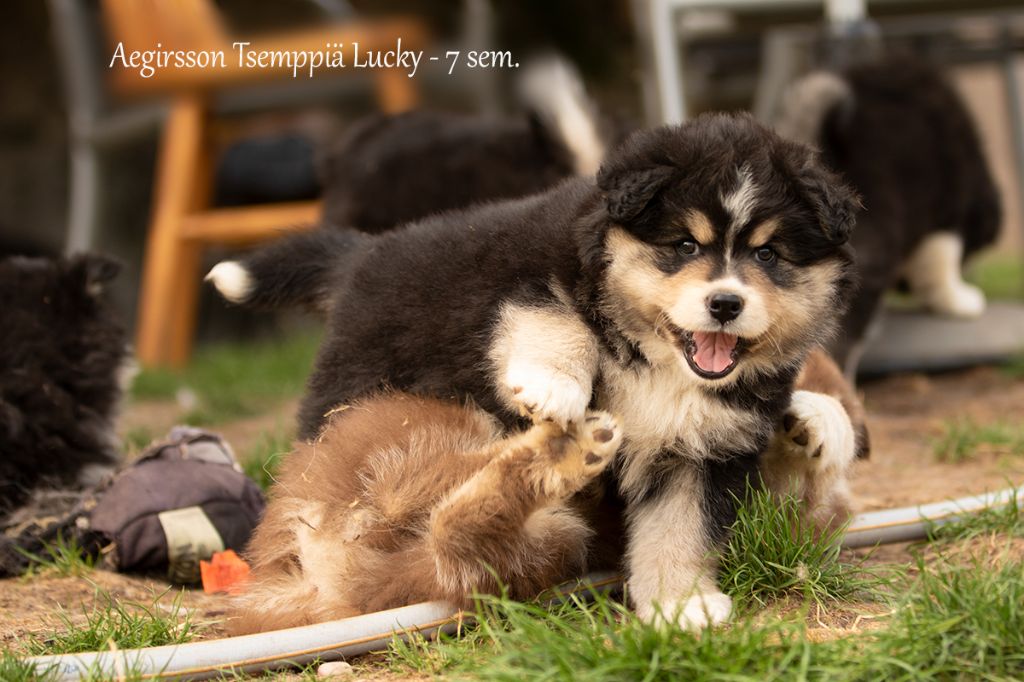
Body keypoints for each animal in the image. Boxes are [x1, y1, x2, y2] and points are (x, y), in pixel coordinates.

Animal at [211, 112, 860, 626]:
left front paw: (682, 605)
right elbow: (556, 317)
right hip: (352, 397)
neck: (659, 359)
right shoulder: (534, 272)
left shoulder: (701, 451)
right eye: (684, 245)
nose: (726, 304)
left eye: (767, 254)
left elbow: (681, 528)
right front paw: (553, 389)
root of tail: (363, 254)